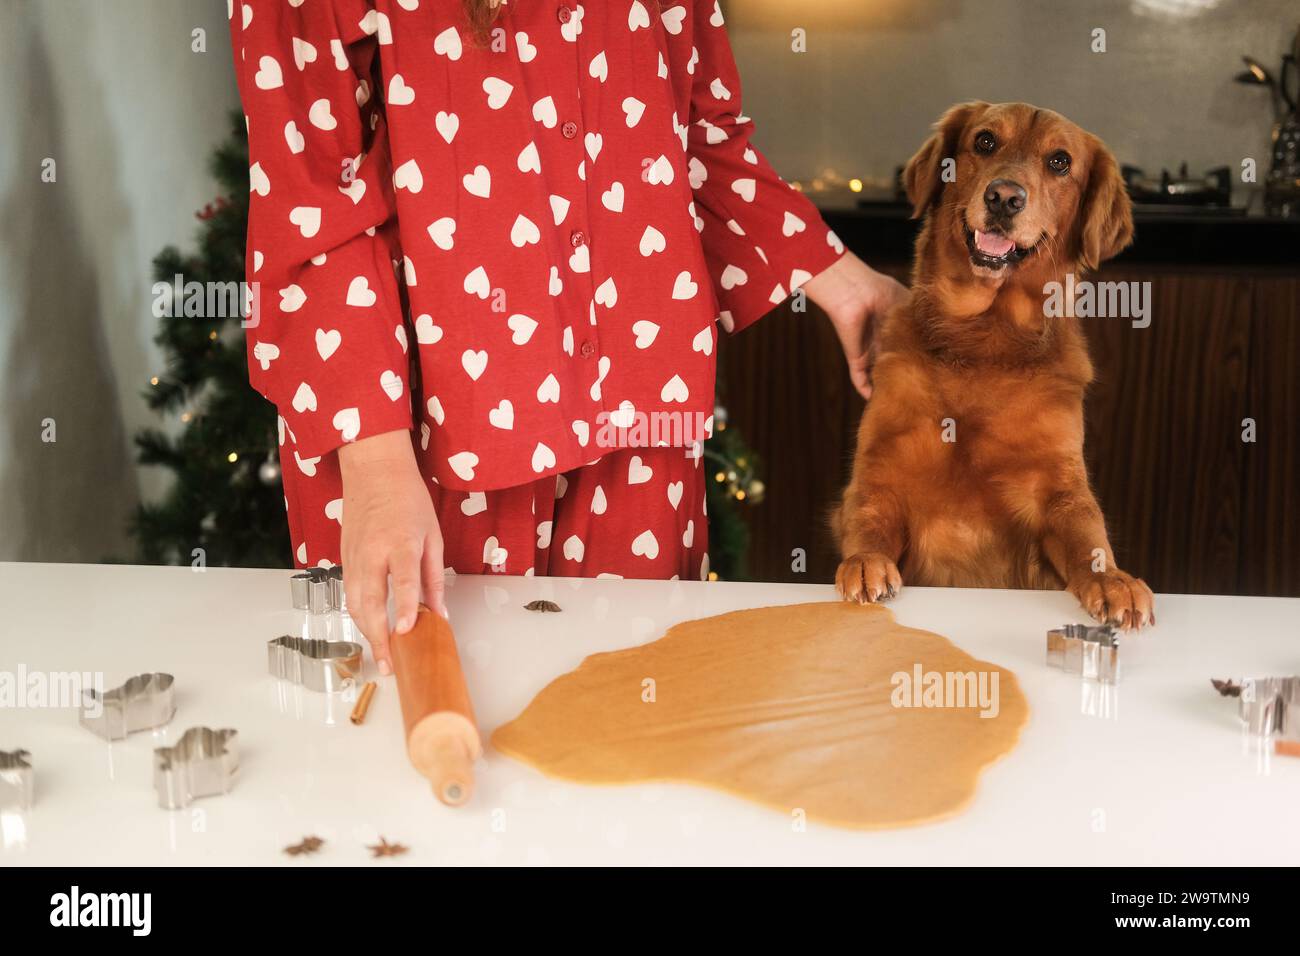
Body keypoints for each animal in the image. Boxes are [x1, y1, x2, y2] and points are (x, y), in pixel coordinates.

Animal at [837, 102, 1154, 629]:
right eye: (985, 141)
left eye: (1060, 162)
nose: (1004, 197)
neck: (983, 340)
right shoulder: (880, 472)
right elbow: (868, 520)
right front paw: (864, 563)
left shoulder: (1060, 487)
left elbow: (1087, 534)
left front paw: (1113, 580)